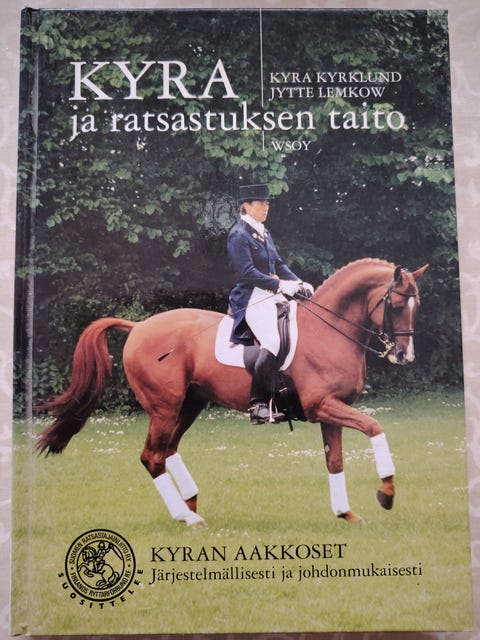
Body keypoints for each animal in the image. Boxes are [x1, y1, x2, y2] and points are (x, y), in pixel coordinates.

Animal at [36, 258, 428, 526]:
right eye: (395, 306)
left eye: (417, 306)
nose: (404, 355)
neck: (328, 330)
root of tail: (139, 327)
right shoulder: (323, 405)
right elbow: (375, 428)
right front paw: (386, 493)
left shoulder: (330, 411)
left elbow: (335, 461)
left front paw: (345, 513)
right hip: (164, 407)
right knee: (152, 457)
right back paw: (187, 516)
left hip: (190, 404)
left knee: (168, 450)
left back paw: (191, 502)